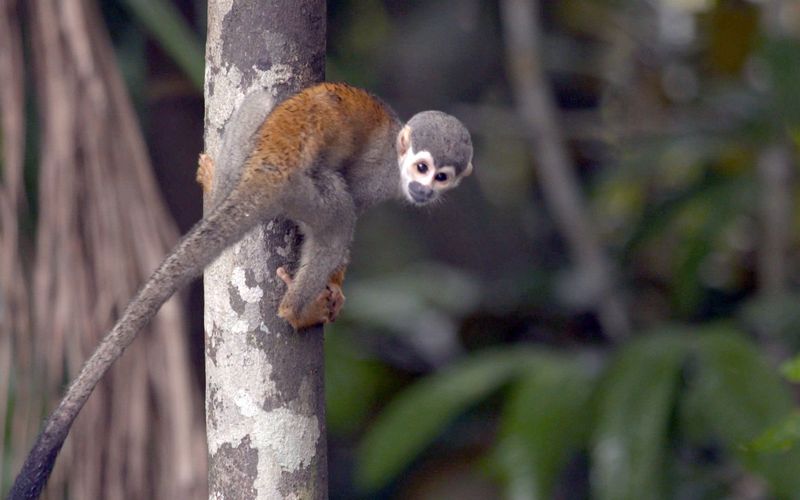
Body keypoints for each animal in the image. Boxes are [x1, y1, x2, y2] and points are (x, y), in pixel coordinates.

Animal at [9, 82, 472, 496]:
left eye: (443, 177)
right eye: (422, 168)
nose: (424, 190)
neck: (396, 158)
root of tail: (270, 165)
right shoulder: (376, 177)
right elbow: (350, 212)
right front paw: (334, 283)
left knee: (262, 100)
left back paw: (218, 187)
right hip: (302, 187)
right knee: (339, 212)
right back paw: (296, 308)